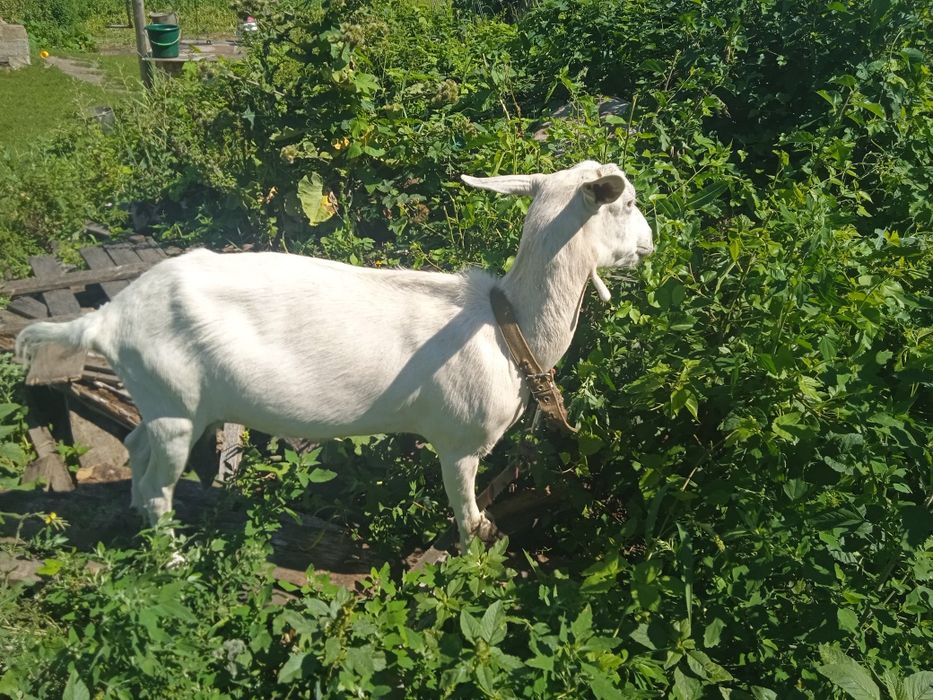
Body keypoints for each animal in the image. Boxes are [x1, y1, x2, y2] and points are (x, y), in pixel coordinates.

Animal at [16, 161, 653, 548]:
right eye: (626, 203)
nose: (652, 242)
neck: (507, 328)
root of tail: (106, 319)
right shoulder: (459, 442)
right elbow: (468, 517)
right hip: (174, 406)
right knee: (156, 488)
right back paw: (171, 561)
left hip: (159, 402)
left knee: (133, 446)